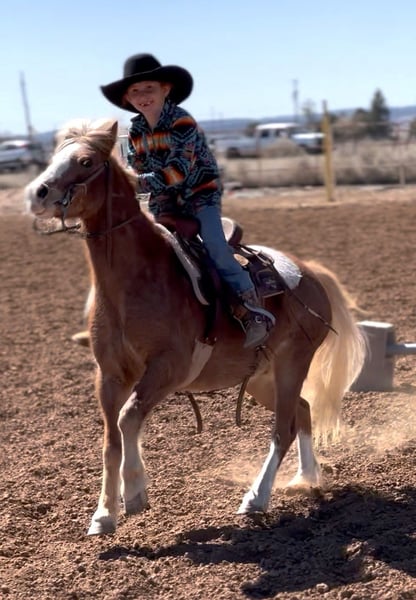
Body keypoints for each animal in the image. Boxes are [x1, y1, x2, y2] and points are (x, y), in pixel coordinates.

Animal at [25, 119, 366, 536]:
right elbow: (111, 439)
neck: (134, 282)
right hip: (261, 377)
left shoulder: (169, 368)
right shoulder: (109, 375)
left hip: (293, 363)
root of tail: (311, 272)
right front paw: (104, 514)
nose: (37, 193)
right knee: (301, 411)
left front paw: (135, 492)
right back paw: (306, 478)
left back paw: (256, 498)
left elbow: (128, 418)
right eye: (53, 157)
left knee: (282, 429)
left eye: (86, 161)